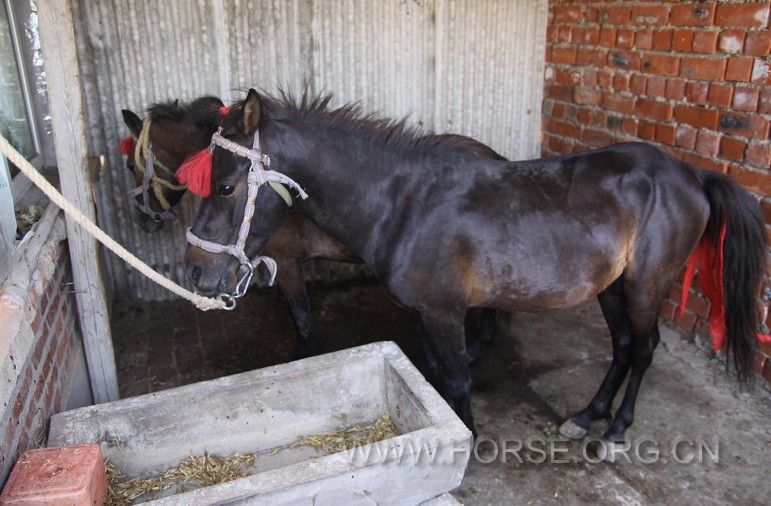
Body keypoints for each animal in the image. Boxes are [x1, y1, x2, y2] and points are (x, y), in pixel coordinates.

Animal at [185, 89, 764, 444]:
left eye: (227, 186)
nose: (193, 273)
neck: (403, 203)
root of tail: (692, 174)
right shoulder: (425, 313)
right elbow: (438, 373)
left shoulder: (445, 312)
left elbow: (460, 378)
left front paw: (468, 438)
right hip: (611, 288)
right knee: (623, 346)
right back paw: (586, 416)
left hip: (647, 287)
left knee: (643, 350)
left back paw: (617, 429)